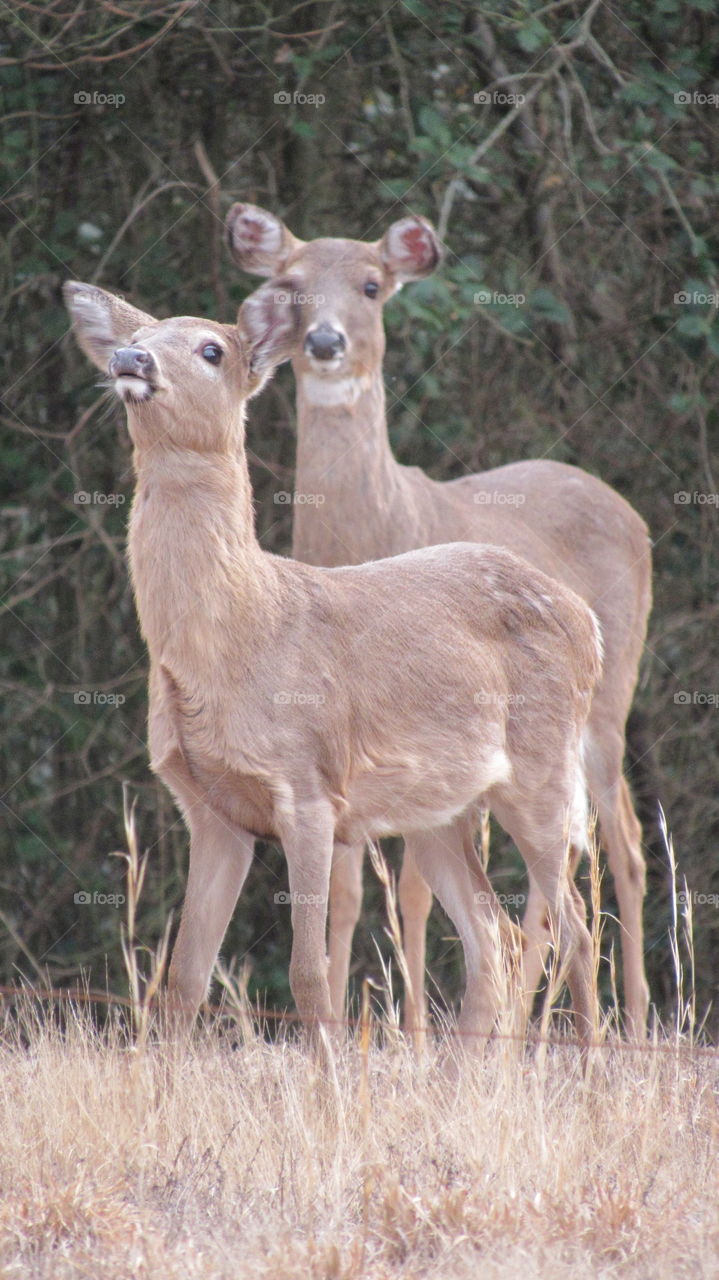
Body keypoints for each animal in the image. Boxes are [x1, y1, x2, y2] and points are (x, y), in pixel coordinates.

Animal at [64, 277, 602, 1057]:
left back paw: (585, 1068)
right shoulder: (209, 808)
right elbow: (184, 979)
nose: (131, 359)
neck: (239, 639)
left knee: (577, 929)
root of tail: (586, 620)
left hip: (543, 769)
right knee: (492, 934)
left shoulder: (307, 786)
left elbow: (308, 972)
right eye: (143, 333)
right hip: (437, 809)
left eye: (212, 349)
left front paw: (332, 1081)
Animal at [225, 203, 653, 1041]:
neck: (374, 533)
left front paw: (421, 1035)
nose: (324, 342)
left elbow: (418, 888)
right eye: (289, 282)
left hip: (607, 698)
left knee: (618, 843)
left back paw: (638, 1019)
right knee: (569, 861)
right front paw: (365, 1029)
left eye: (371, 284)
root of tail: (630, 513)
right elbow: (356, 889)